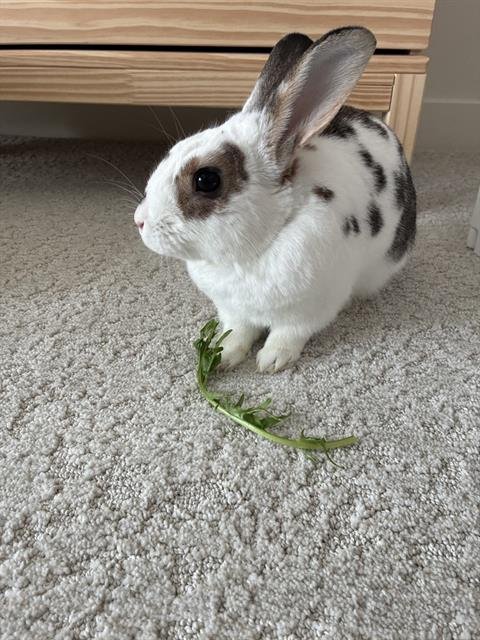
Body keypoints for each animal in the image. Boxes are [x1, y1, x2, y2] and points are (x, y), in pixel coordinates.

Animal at [134, 26, 416, 372]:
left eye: (206, 180)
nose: (139, 221)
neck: (250, 254)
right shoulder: (233, 311)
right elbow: (238, 331)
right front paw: (225, 355)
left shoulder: (309, 311)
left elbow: (287, 334)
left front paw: (271, 361)